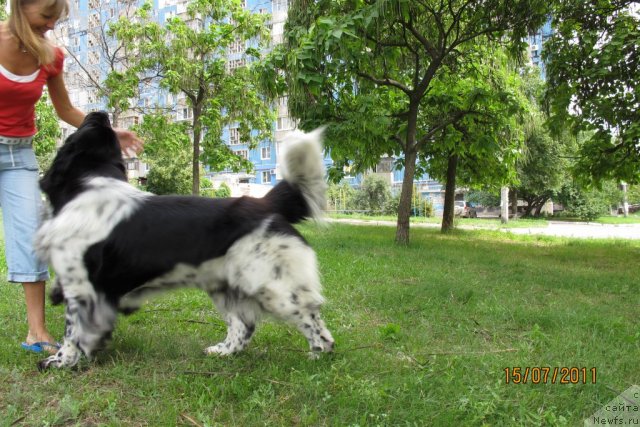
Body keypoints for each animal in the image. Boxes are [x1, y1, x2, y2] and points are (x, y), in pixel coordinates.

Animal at [35, 112, 336, 370]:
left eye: (84, 128)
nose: (101, 113)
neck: (91, 183)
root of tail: (266, 204)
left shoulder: (81, 287)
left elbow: (73, 331)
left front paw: (59, 362)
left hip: (274, 288)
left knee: (314, 323)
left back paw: (316, 357)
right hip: (225, 285)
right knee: (243, 326)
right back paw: (223, 352)